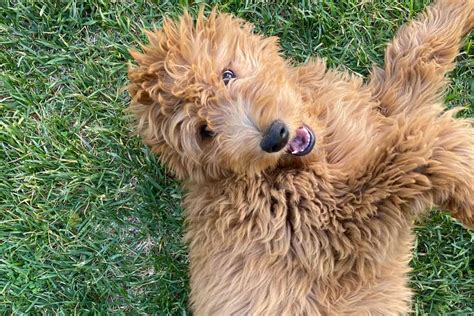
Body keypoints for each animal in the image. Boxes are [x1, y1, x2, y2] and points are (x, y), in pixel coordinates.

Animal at [128, 0, 472, 314]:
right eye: (205, 132)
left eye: (226, 75)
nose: (274, 136)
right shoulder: (328, 230)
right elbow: (414, 154)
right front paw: (465, 183)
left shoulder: (377, 111)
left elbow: (416, 53)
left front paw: (457, 9)